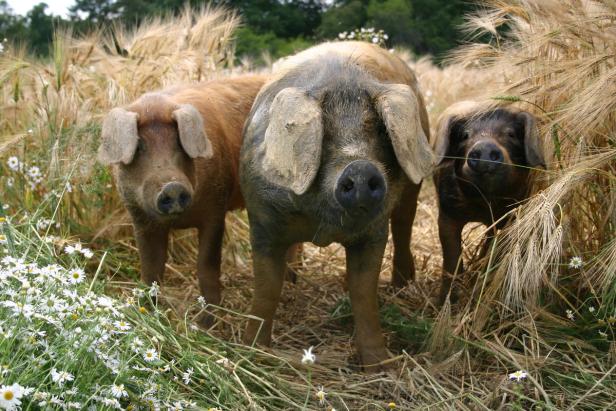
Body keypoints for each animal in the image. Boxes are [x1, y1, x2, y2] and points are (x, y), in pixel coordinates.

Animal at [98, 75, 268, 312]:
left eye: (179, 143)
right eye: (139, 147)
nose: (172, 186)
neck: (178, 221)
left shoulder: (216, 212)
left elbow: (206, 266)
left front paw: (206, 320)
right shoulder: (140, 219)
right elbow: (151, 269)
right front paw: (149, 310)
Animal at [238, 42, 436, 374]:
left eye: (378, 130)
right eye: (324, 135)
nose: (360, 169)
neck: (324, 224)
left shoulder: (374, 232)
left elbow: (364, 294)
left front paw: (378, 367)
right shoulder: (262, 221)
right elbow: (267, 288)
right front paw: (251, 350)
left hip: (414, 183)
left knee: (404, 226)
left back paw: (402, 283)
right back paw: (293, 276)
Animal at [434, 101, 544, 304]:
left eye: (510, 134)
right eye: (465, 135)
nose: (484, 146)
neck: (486, 204)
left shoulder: (513, 212)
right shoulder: (447, 213)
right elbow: (452, 255)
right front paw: (445, 303)